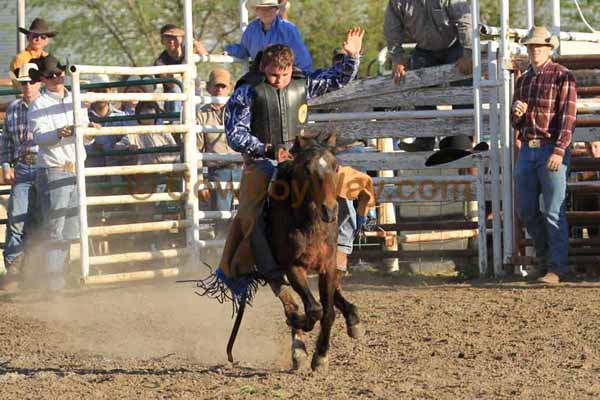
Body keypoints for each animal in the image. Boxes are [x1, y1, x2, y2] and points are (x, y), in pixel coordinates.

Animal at [268, 134, 366, 372]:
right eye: (306, 169)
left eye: (336, 166)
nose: (329, 210)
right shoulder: (292, 267)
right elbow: (313, 309)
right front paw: (301, 323)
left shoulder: (328, 266)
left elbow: (328, 312)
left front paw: (321, 356)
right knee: (291, 305)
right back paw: (298, 351)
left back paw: (353, 319)